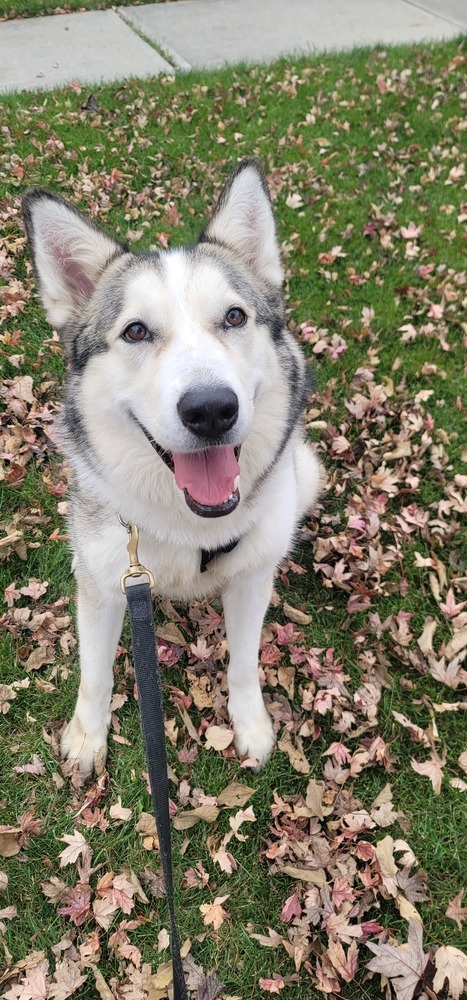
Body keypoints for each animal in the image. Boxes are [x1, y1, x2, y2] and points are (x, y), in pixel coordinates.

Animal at [22, 160, 322, 776]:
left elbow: (244, 661)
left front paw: (250, 724)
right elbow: (94, 672)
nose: (210, 409)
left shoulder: (252, 578)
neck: (191, 526)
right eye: (136, 330)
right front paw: (87, 737)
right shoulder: (105, 581)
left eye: (234, 317)